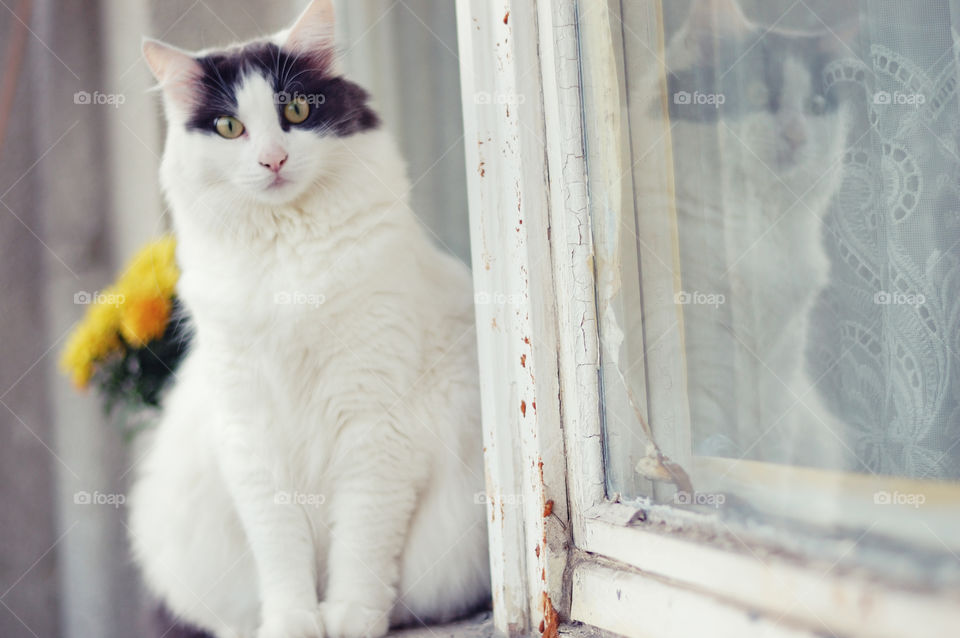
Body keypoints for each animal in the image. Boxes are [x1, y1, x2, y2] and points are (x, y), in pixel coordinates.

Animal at [127, 2, 488, 636]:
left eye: (295, 111)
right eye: (230, 128)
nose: (273, 159)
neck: (286, 258)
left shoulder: (375, 426)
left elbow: (362, 545)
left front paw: (347, 618)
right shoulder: (252, 436)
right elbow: (281, 552)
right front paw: (295, 621)